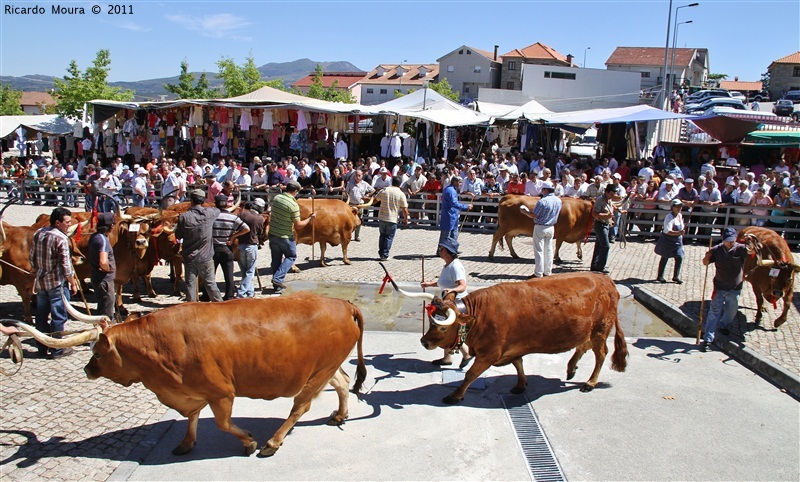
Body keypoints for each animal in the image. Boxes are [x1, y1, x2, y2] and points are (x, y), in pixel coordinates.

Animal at [8, 292, 366, 458]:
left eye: (97, 353)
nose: (86, 369)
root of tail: (343, 303)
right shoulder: (190, 390)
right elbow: (192, 416)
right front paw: (186, 443)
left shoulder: (221, 391)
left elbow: (222, 423)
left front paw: (249, 441)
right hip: (325, 368)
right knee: (343, 382)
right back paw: (339, 415)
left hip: (314, 375)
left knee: (300, 406)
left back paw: (272, 442)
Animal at [380, 268, 624, 402]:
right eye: (431, 321)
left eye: (441, 327)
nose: (424, 341)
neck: (480, 315)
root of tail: (607, 281)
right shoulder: (511, 347)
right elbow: (518, 364)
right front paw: (520, 385)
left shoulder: (489, 353)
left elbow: (470, 375)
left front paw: (455, 395)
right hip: (588, 330)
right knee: (583, 346)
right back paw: (571, 368)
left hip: (601, 329)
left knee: (601, 353)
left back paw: (590, 382)